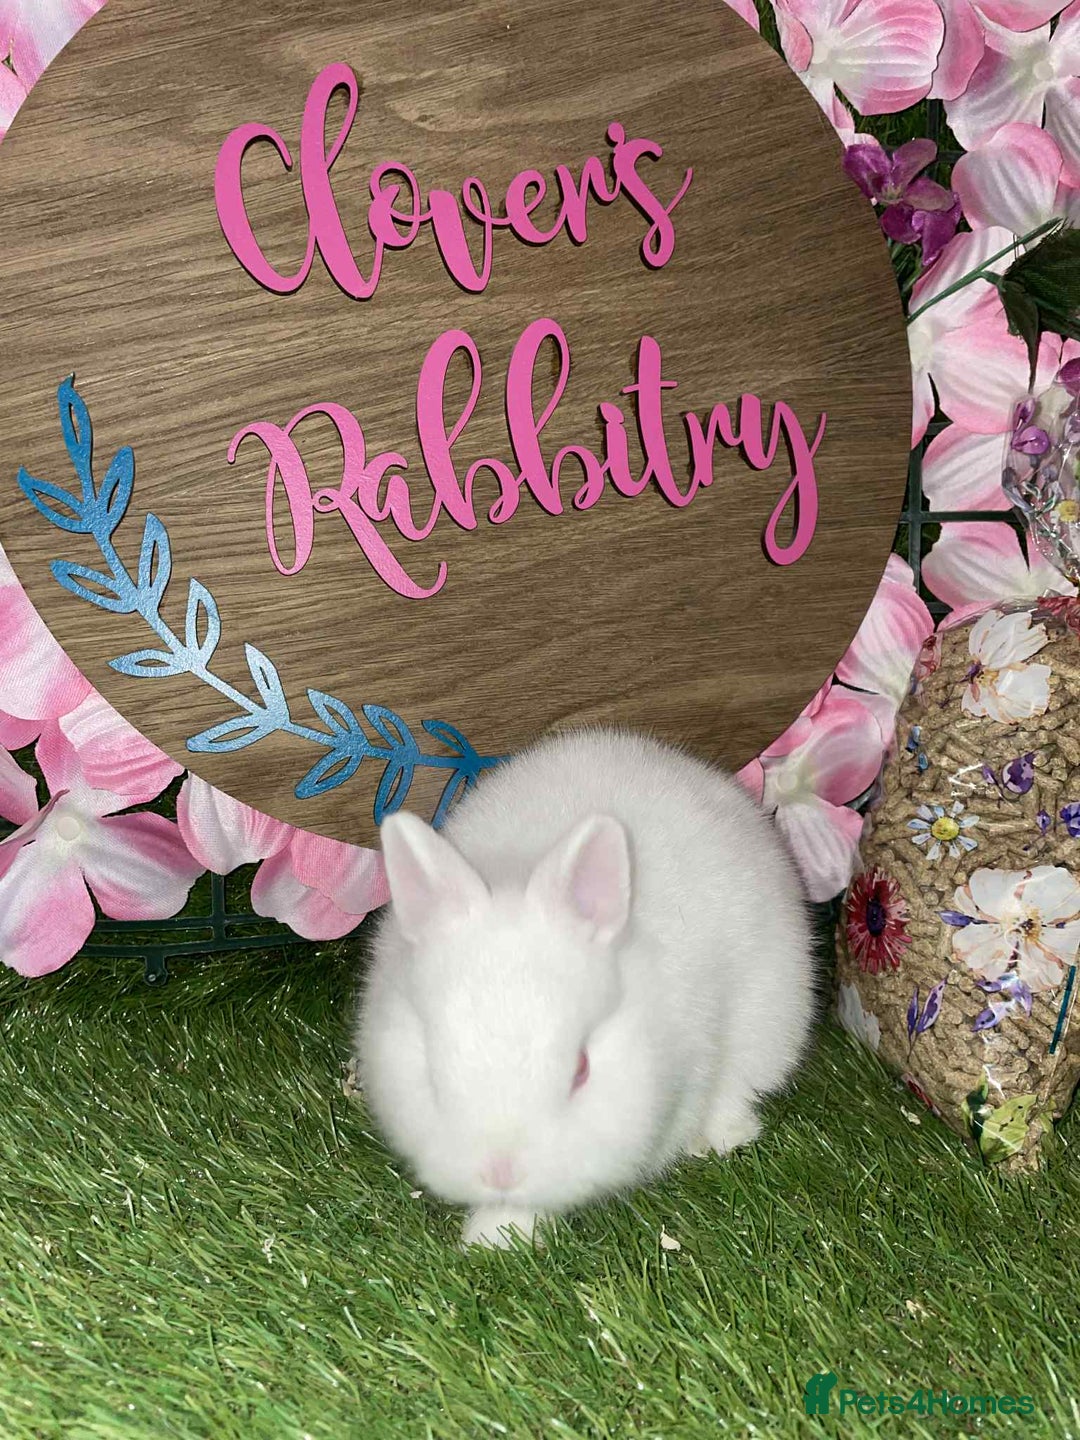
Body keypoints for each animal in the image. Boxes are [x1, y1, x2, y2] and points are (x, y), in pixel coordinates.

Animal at [353, 727, 816, 1249]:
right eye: (431, 1068)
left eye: (581, 1069)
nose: (500, 1172)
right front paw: (494, 1239)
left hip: (772, 1016)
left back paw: (723, 1136)